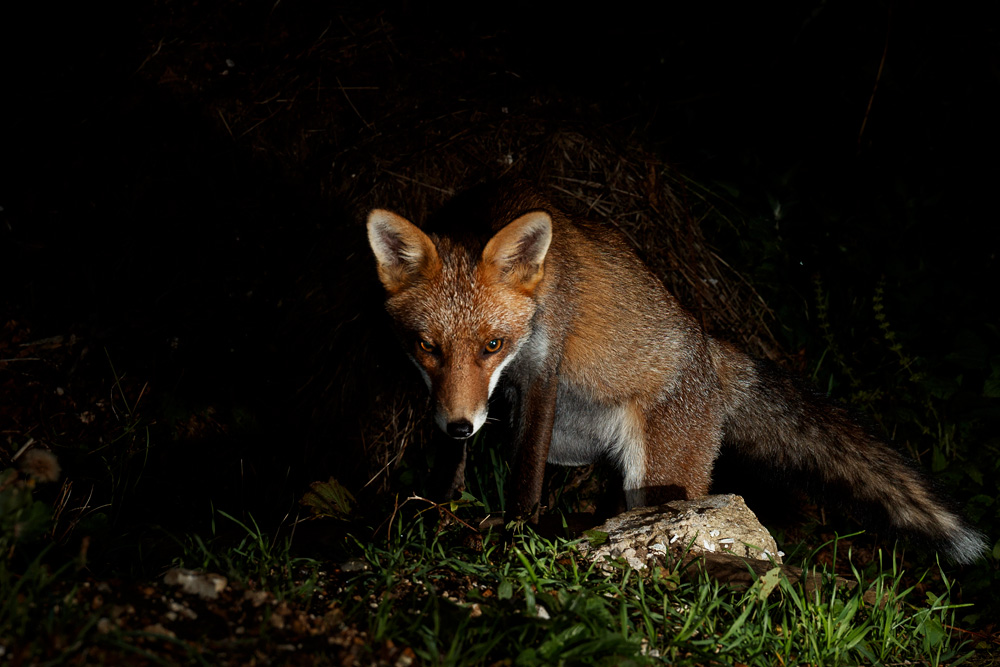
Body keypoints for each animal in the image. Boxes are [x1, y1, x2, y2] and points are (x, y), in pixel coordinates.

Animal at [366, 183, 987, 564]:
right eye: (426, 346)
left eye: (494, 345)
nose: (462, 427)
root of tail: (712, 349)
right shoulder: (462, 395)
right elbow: (453, 459)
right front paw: (437, 511)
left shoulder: (543, 367)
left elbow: (524, 473)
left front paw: (514, 533)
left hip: (663, 476)